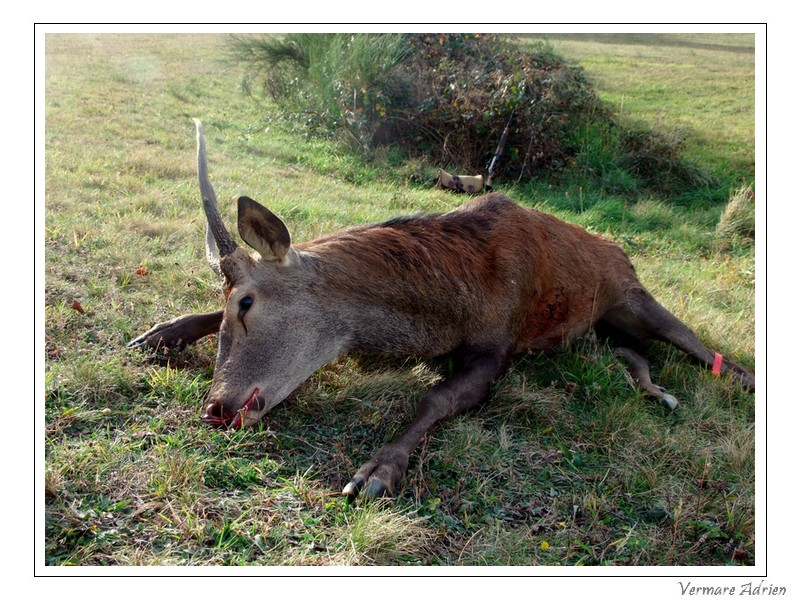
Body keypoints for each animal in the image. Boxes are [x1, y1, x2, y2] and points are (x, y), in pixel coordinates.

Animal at [126, 119, 756, 500]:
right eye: (229, 301)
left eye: (249, 301)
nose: (216, 406)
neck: (447, 302)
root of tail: (616, 249)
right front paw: (159, 333)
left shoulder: (496, 346)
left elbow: (438, 397)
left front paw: (376, 471)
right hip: (601, 331)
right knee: (634, 354)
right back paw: (656, 391)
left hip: (633, 296)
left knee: (709, 353)